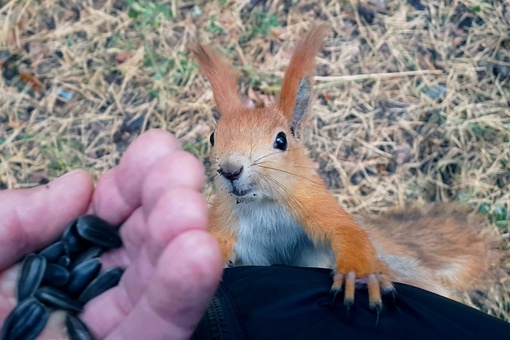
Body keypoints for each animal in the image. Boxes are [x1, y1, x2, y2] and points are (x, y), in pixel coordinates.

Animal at [186, 24, 502, 314]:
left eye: (281, 140)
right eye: (213, 137)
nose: (230, 170)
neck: (262, 203)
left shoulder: (314, 202)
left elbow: (346, 231)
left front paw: (357, 275)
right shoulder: (225, 220)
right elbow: (215, 246)